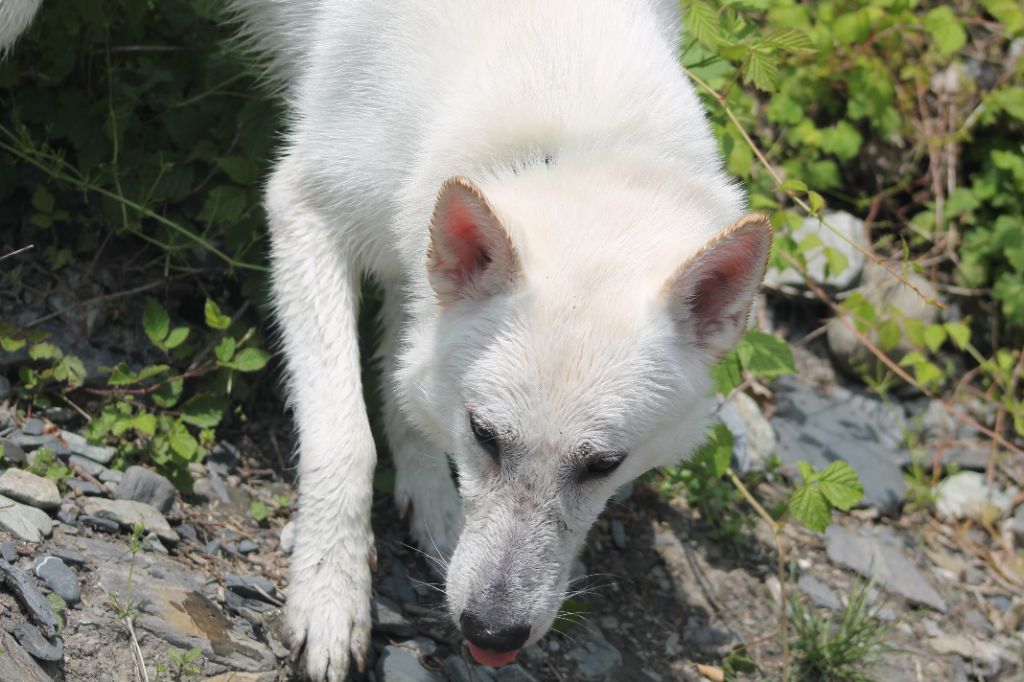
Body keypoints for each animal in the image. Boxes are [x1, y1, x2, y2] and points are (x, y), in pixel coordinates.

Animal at [0, 2, 770, 675]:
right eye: (485, 435)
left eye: (604, 465)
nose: (491, 632)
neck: (562, 131)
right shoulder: (306, 210)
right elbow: (346, 441)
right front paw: (331, 594)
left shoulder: (414, 262)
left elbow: (407, 399)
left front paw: (435, 510)